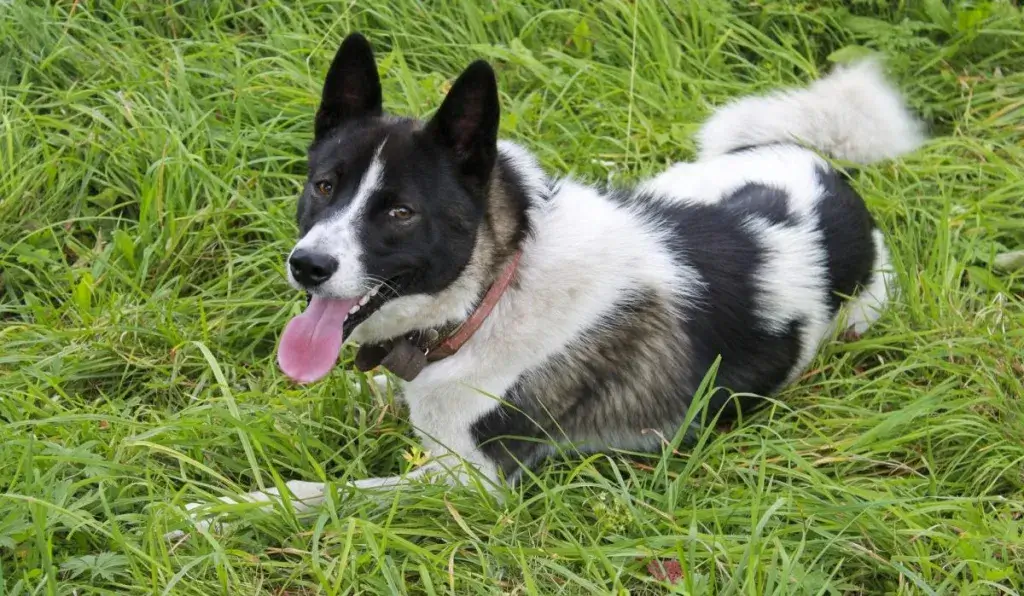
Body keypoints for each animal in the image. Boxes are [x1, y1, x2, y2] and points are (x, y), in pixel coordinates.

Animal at [165, 30, 921, 540]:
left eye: (400, 212)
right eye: (324, 187)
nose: (308, 266)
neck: (494, 290)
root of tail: (824, 168)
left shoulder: (471, 483)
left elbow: (322, 491)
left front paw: (217, 510)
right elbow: (321, 402)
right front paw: (194, 429)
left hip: (862, 308)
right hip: (676, 181)